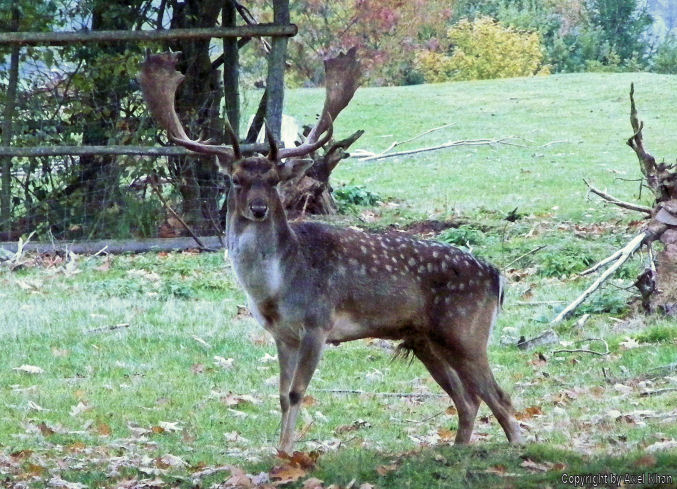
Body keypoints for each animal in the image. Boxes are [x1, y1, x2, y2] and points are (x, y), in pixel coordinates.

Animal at [139, 51, 524, 452]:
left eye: (274, 180)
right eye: (235, 179)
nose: (259, 208)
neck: (275, 288)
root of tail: (497, 276)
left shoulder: (318, 322)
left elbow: (297, 393)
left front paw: (288, 453)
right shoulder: (282, 335)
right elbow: (281, 395)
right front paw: (279, 451)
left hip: (466, 330)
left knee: (499, 396)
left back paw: (517, 449)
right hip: (426, 340)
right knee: (468, 400)